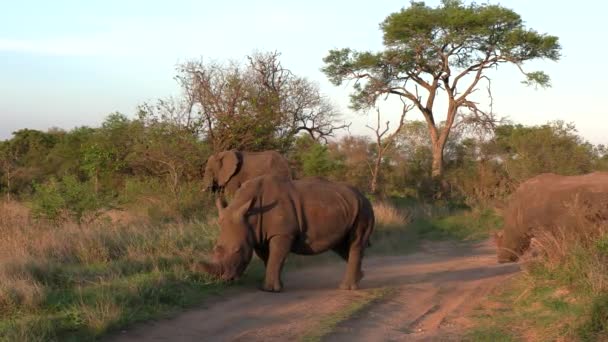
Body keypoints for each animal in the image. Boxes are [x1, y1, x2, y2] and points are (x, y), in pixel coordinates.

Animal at [198, 176, 376, 292]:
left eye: (238, 250)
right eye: (215, 249)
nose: (225, 279)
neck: (250, 216)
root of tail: (364, 196)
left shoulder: (282, 234)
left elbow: (277, 257)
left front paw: (269, 289)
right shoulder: (258, 235)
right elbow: (269, 258)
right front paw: (275, 285)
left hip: (363, 210)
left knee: (355, 242)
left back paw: (347, 288)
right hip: (346, 208)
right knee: (342, 245)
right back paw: (360, 277)